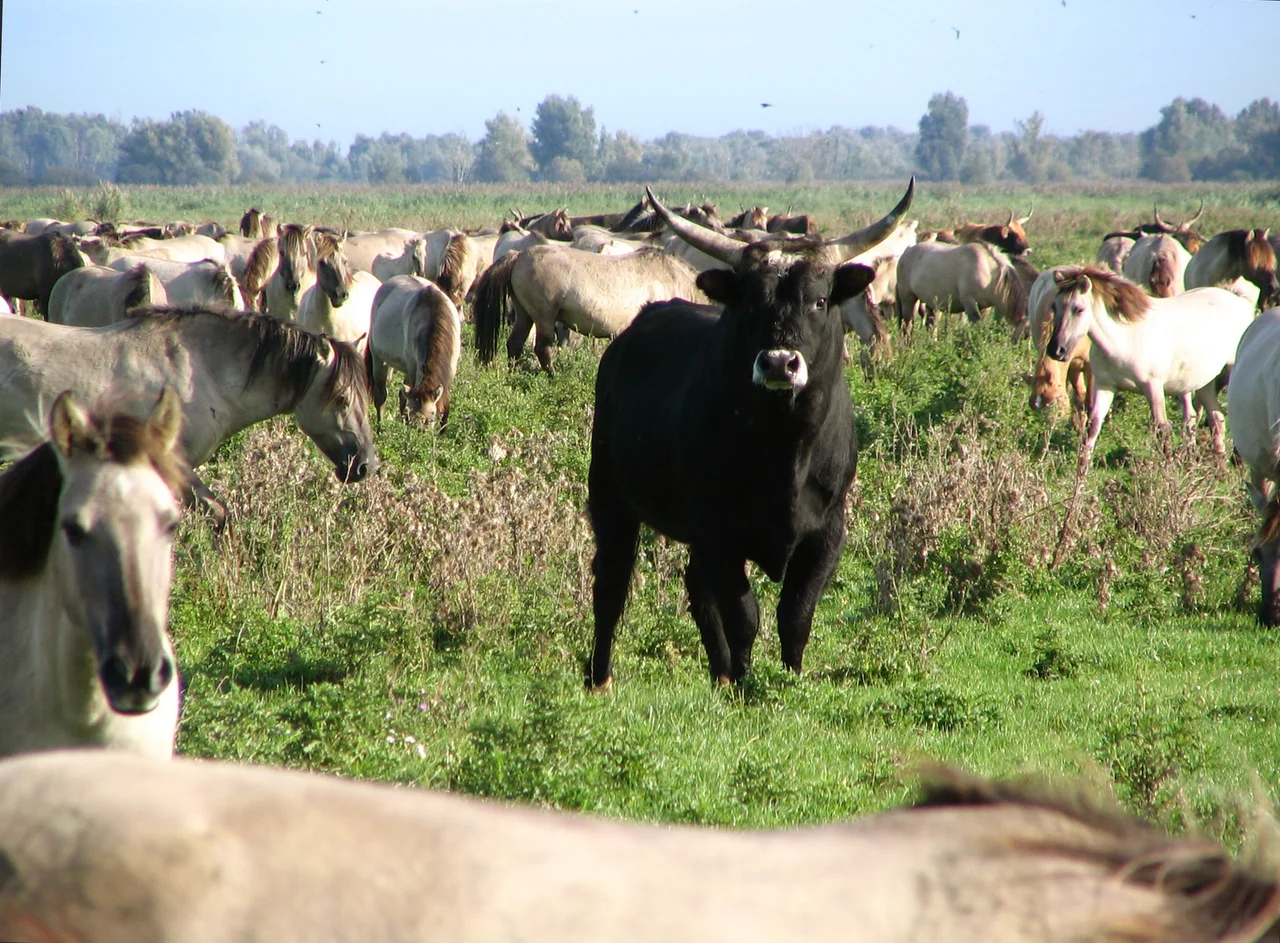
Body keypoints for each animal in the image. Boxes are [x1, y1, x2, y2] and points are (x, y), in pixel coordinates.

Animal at [366, 275, 461, 426]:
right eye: (412, 414)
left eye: (431, 416)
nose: (418, 431)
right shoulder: (412, 367)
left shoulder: (450, 371)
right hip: (378, 358)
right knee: (381, 395)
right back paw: (381, 427)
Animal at [472, 245, 706, 373]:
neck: (672, 277)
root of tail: (518, 255)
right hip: (544, 316)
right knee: (542, 348)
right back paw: (553, 377)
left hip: (524, 314)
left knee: (515, 344)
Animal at [586, 179, 914, 690]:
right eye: (749, 301)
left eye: (820, 300)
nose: (779, 363)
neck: (785, 451)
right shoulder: (719, 531)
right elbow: (743, 615)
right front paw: (745, 683)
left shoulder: (828, 533)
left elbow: (795, 615)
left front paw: (787, 679)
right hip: (610, 496)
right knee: (611, 583)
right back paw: (600, 677)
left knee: (695, 588)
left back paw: (718, 673)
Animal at [1045, 267, 1255, 459]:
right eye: (1054, 307)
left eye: (1078, 309)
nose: (1056, 350)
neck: (1125, 338)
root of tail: (1240, 301)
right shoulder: (1104, 386)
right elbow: (1092, 430)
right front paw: (1080, 475)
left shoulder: (1153, 388)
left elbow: (1162, 430)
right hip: (1204, 382)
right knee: (1215, 418)